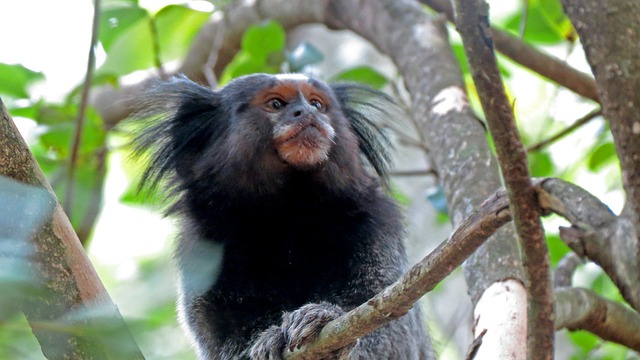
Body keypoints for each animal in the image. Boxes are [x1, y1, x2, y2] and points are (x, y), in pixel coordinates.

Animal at [137, 74, 432, 360]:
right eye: (276, 104)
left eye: (316, 104)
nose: (307, 113)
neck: (288, 215)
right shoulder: (202, 244)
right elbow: (218, 339)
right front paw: (266, 340)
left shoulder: (375, 222)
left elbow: (391, 327)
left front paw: (320, 319)